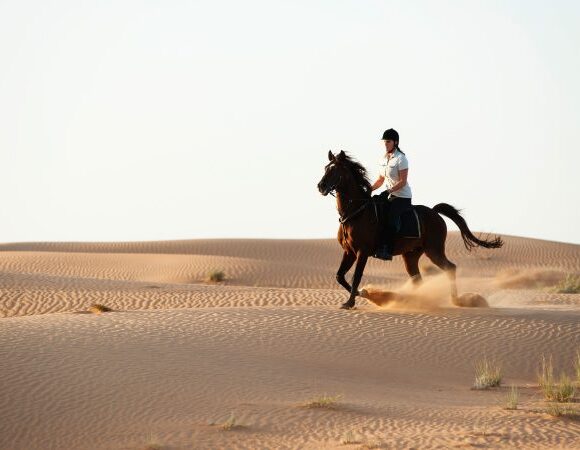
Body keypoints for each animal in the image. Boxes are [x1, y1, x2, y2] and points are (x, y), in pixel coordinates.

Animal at [318, 151, 502, 310]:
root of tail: (434, 212)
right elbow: (339, 276)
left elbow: (356, 276)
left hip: (434, 250)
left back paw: (455, 301)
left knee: (450, 268)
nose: (321, 186)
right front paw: (361, 294)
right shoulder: (349, 251)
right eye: (326, 168)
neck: (356, 212)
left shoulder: (362, 252)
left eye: (334, 170)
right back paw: (417, 300)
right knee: (418, 279)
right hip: (411, 255)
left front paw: (351, 301)